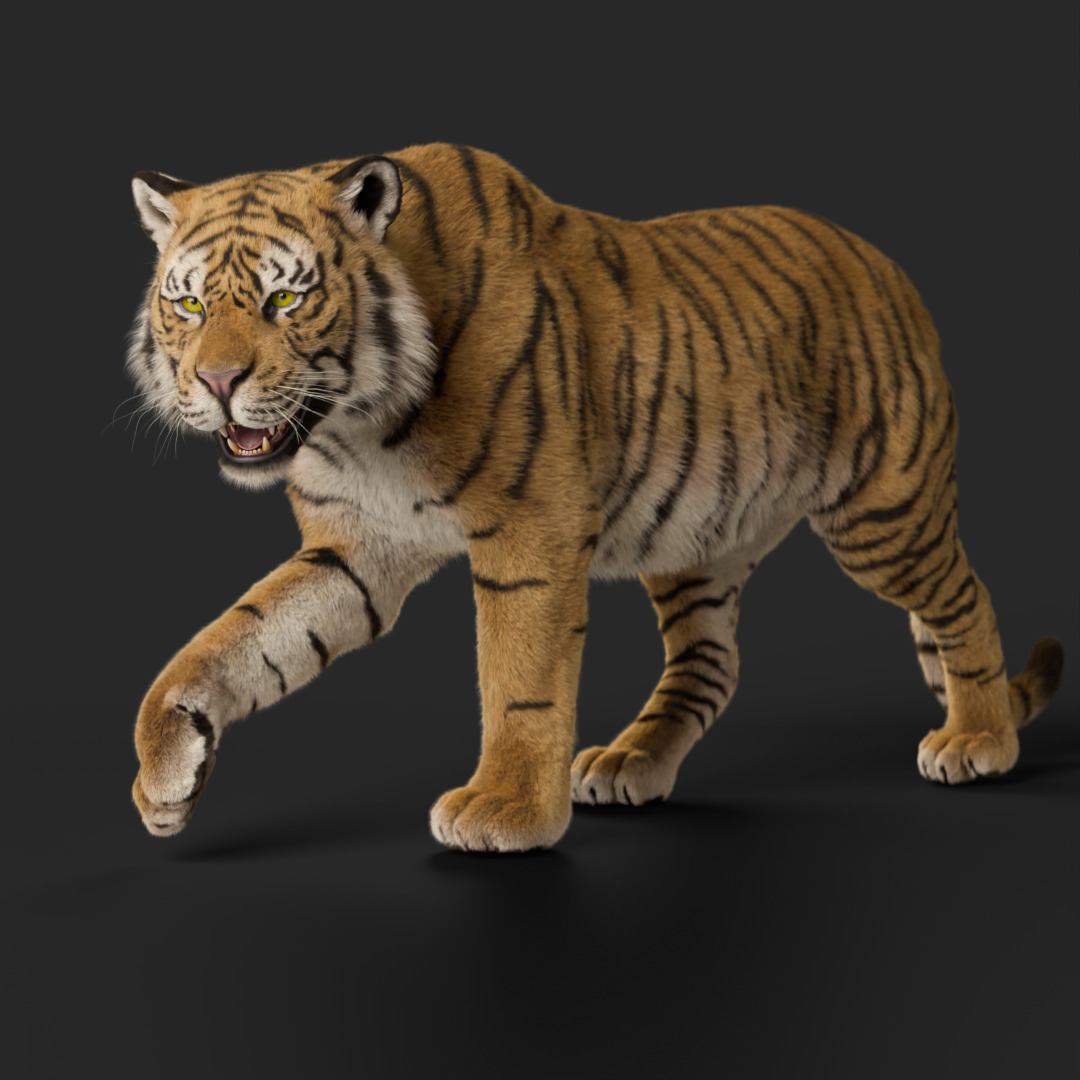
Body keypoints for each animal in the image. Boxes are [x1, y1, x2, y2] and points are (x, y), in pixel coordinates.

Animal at [127, 142, 1063, 852]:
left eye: (286, 298)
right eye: (189, 302)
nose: (217, 382)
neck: (358, 423)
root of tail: (886, 262)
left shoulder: (527, 533)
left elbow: (519, 678)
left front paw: (505, 810)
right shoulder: (355, 550)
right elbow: (233, 642)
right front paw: (166, 774)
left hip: (881, 512)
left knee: (964, 599)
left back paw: (980, 738)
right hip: (697, 536)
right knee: (712, 662)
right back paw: (631, 763)